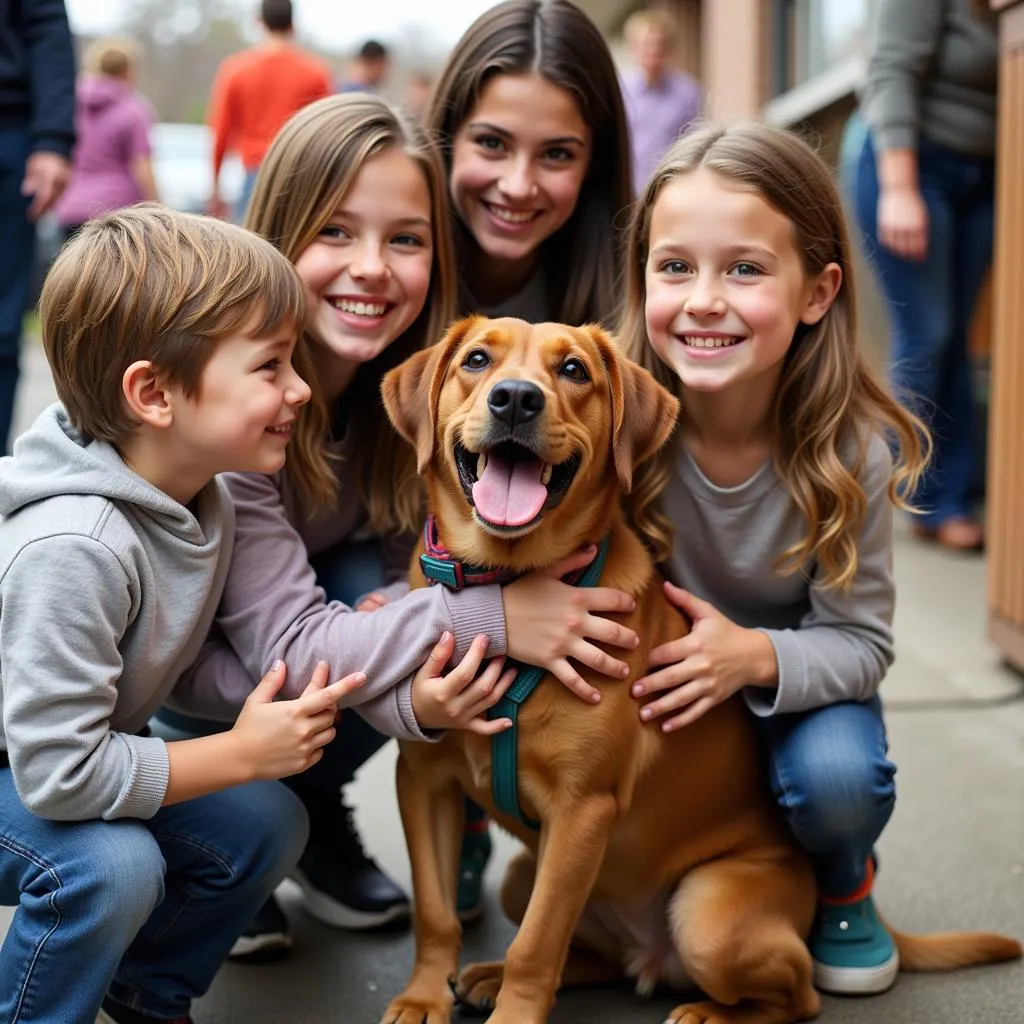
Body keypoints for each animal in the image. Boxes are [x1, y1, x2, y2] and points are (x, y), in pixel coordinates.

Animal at [378, 313, 1024, 1024]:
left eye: (573, 370)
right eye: (476, 360)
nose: (516, 399)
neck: (506, 590)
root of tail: (651, 956)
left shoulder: (581, 811)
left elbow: (538, 946)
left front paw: (513, 1013)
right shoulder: (423, 780)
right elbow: (439, 915)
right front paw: (422, 996)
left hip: (706, 915)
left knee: (798, 993)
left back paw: (710, 1012)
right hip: (527, 877)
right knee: (592, 955)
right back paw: (494, 975)